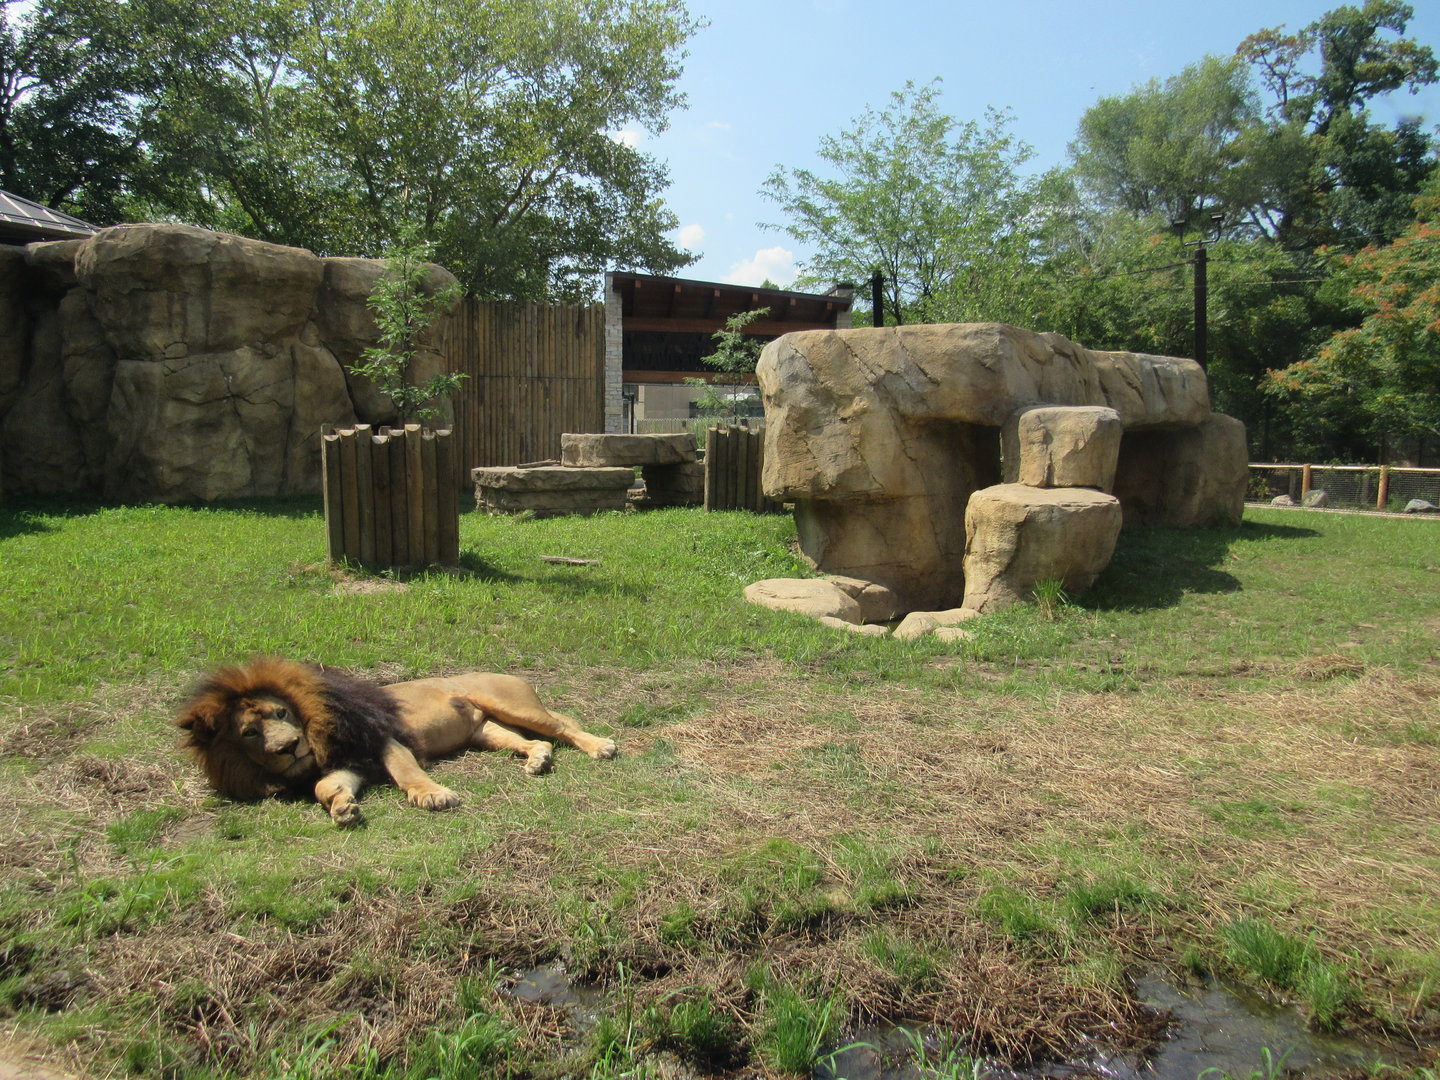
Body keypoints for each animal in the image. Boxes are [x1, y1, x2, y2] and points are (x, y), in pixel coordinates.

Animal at [176, 658, 616, 826]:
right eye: (249, 732)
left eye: (281, 713)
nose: (288, 747)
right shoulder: (351, 762)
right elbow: (325, 786)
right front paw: (342, 808)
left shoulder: (383, 737)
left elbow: (406, 770)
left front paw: (433, 795)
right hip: (485, 730)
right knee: (531, 741)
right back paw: (537, 760)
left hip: (512, 704)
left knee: (562, 726)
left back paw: (600, 746)